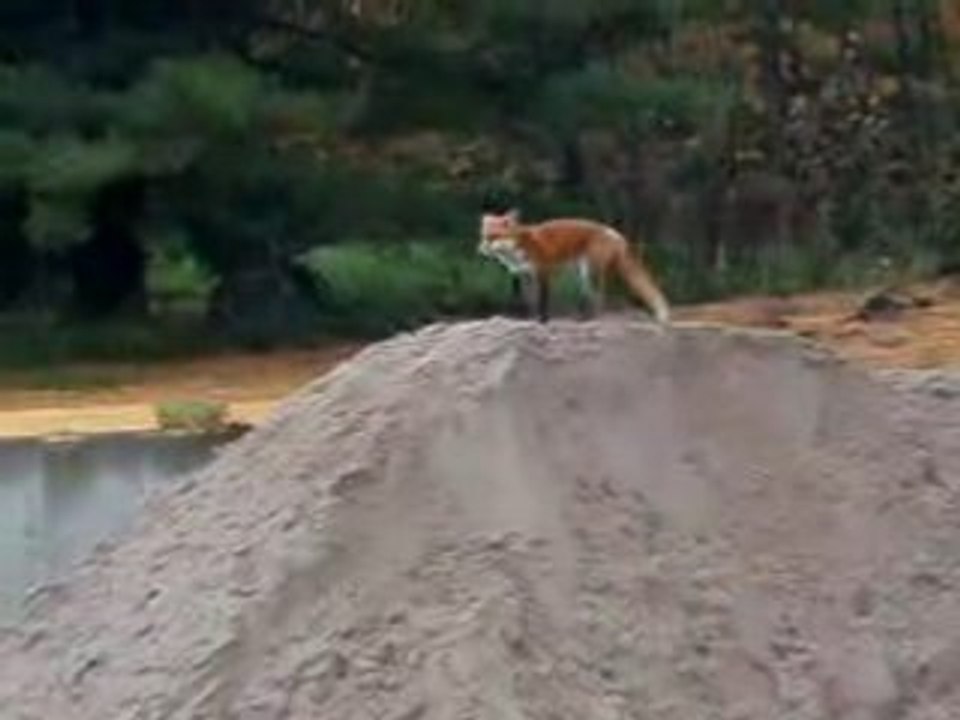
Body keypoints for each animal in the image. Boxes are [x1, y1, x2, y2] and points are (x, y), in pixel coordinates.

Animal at [478, 210, 671, 324]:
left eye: (494, 237)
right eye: (484, 236)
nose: (481, 249)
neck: (520, 248)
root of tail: (614, 232)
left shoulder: (543, 273)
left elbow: (542, 303)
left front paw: (543, 322)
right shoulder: (526, 277)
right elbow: (531, 303)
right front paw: (532, 321)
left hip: (590, 273)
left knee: (601, 298)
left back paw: (594, 320)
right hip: (582, 276)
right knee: (592, 298)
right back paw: (583, 319)